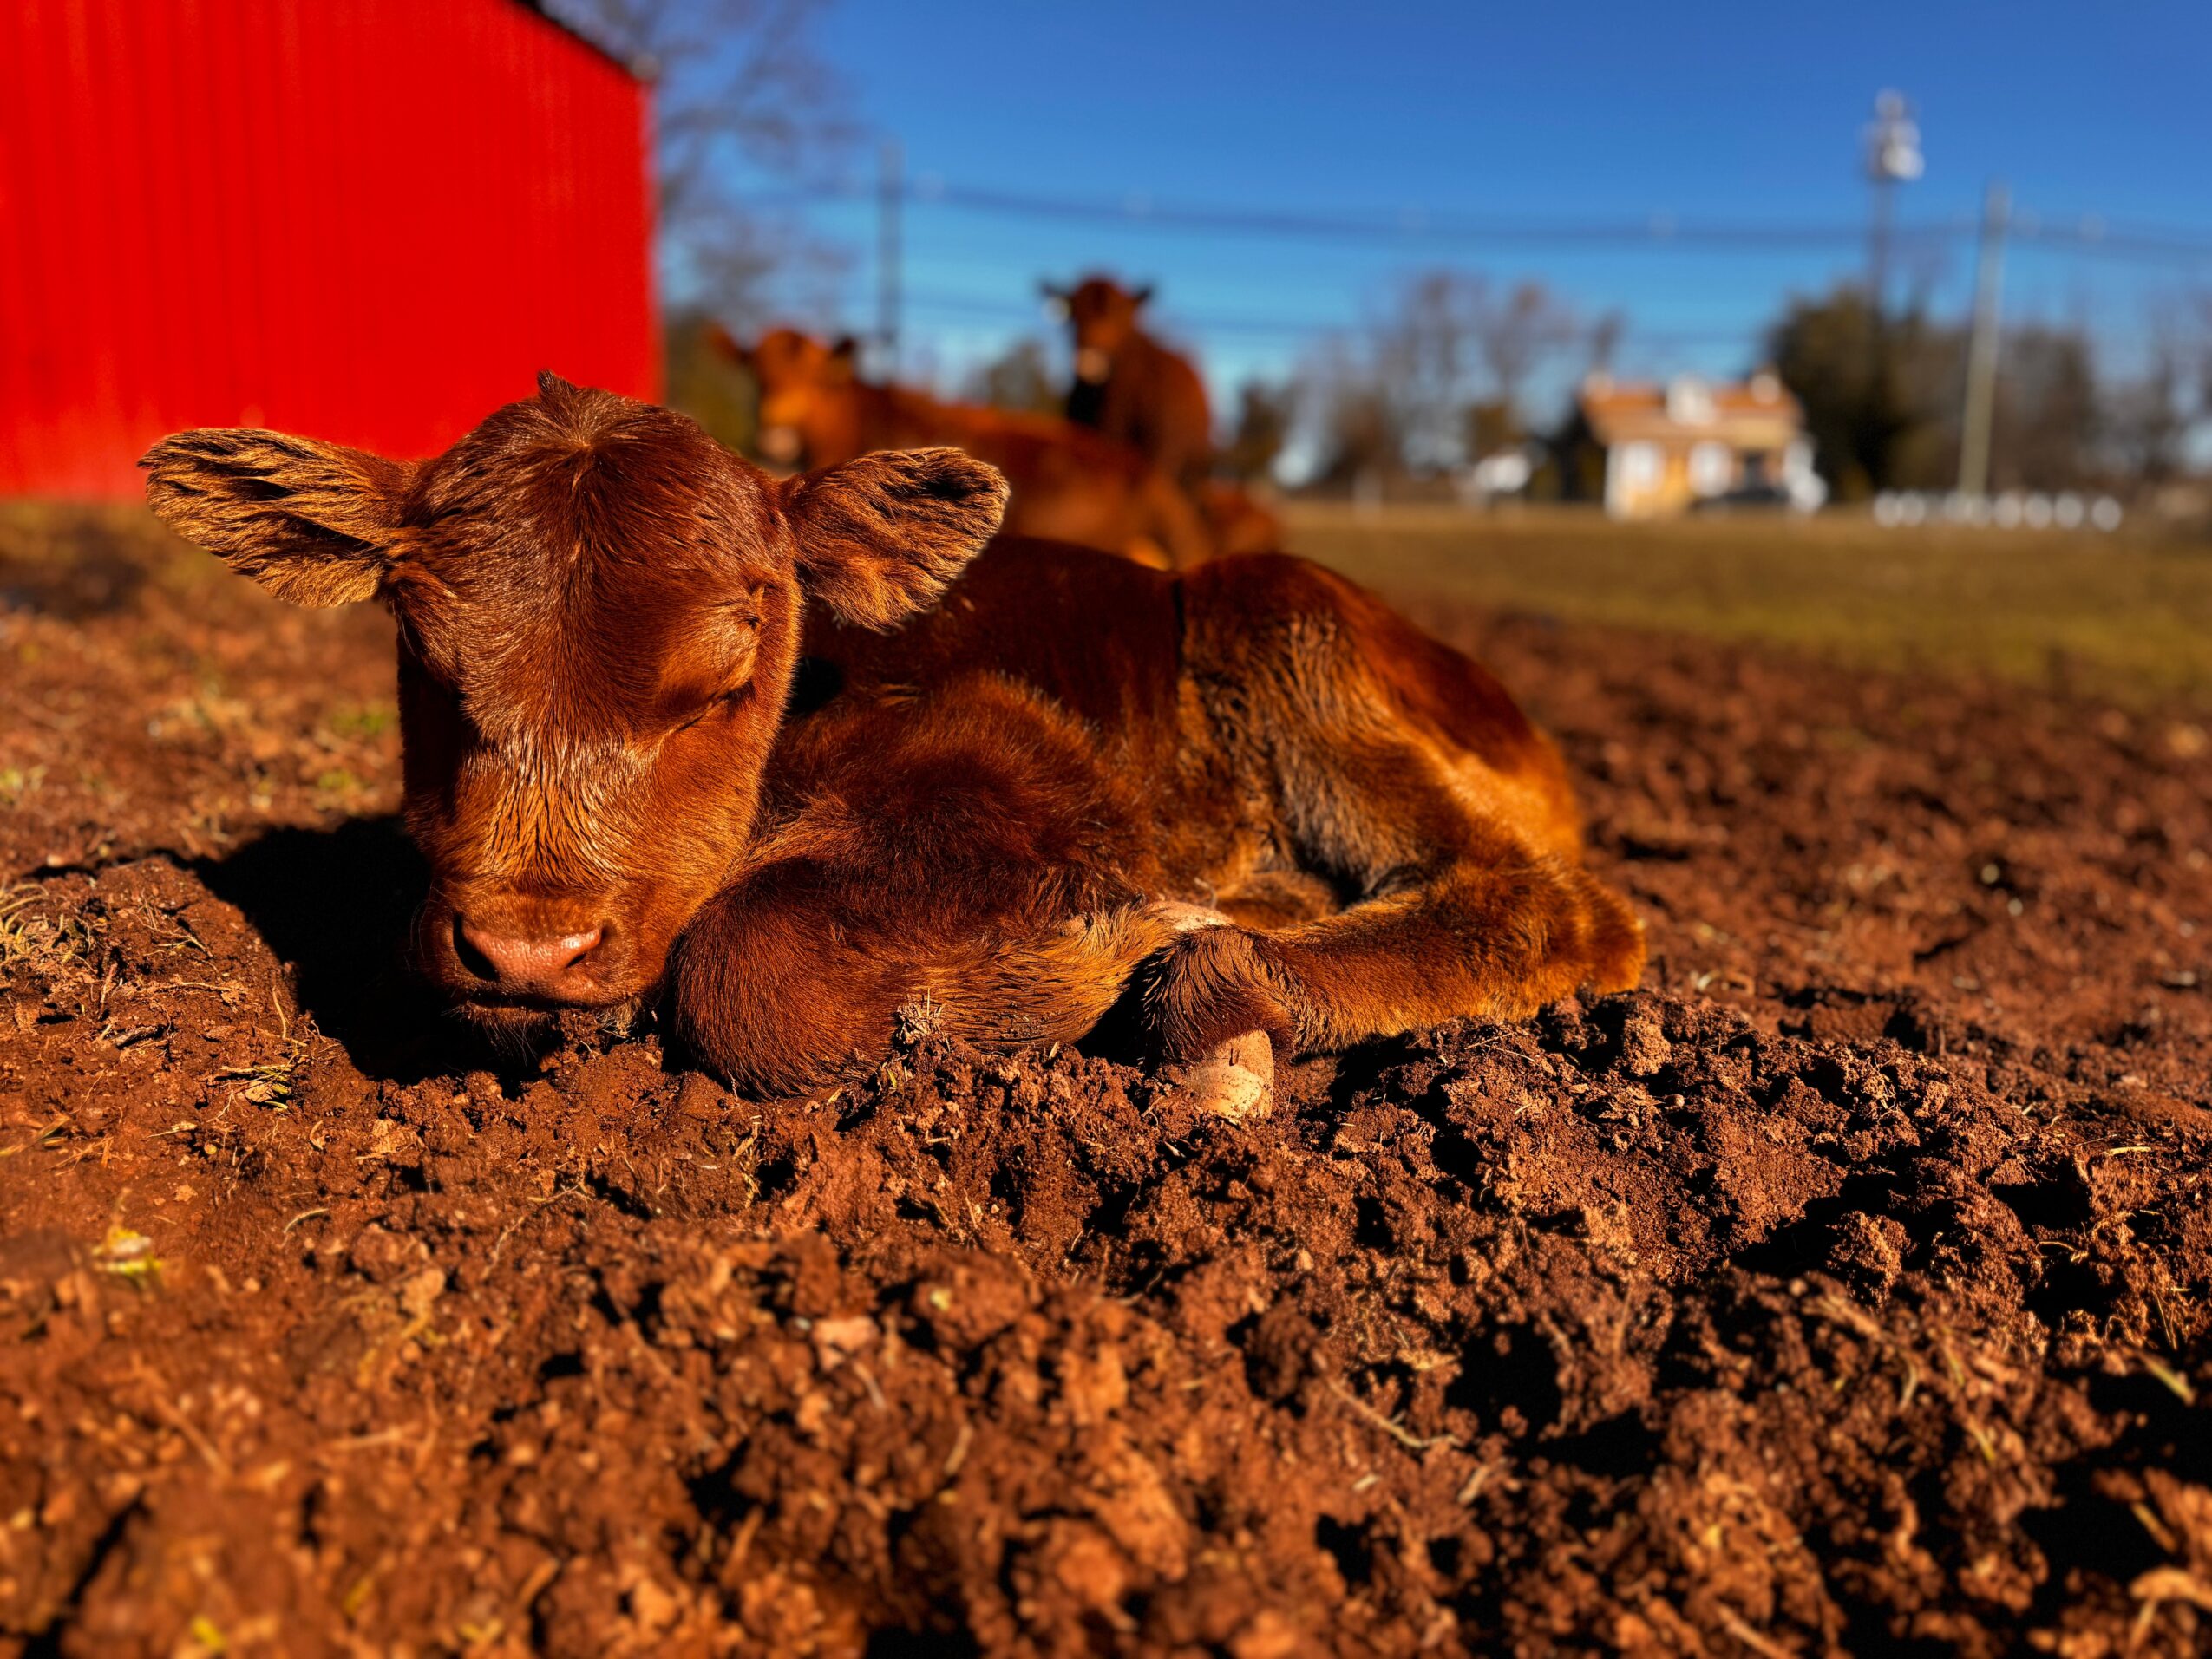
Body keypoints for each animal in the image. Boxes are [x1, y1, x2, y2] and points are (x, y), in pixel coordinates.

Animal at [141, 375, 1644, 1117]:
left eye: (725, 683)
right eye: (427, 660)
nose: (527, 948)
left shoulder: (1026, 771)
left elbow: (750, 962)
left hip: (1276, 614)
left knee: (1559, 905)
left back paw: (1226, 982)